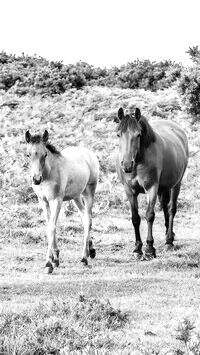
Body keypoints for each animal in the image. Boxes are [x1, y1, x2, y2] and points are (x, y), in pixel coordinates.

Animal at [116, 107, 188, 260]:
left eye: (138, 135)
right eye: (118, 134)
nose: (127, 165)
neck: (138, 161)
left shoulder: (151, 188)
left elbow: (149, 215)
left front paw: (149, 249)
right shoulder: (129, 191)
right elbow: (135, 218)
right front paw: (137, 249)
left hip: (176, 184)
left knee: (171, 209)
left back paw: (169, 242)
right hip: (164, 187)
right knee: (165, 207)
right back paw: (169, 235)